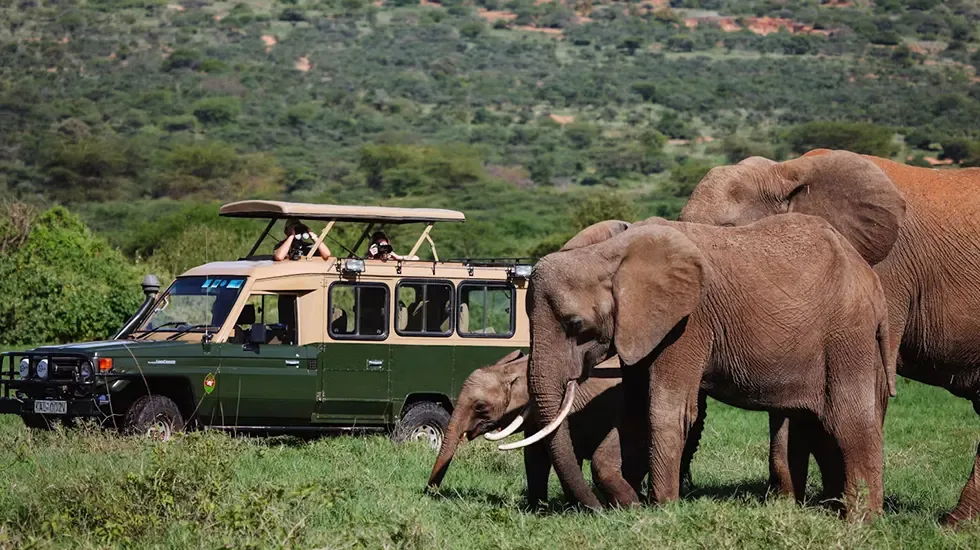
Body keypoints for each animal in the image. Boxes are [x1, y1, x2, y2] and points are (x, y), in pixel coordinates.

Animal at [426, 350, 661, 508]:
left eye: (480, 407)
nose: (430, 494)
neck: (515, 369)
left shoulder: (569, 411)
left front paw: (573, 508)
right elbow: (535, 457)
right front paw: (537, 508)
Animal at [502, 214, 894, 521]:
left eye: (575, 324)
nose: (594, 510)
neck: (610, 255)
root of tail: (873, 282)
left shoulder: (687, 323)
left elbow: (667, 410)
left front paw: (662, 510)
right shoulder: (642, 330)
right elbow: (634, 410)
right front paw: (632, 505)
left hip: (846, 333)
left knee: (847, 418)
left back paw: (860, 521)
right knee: (811, 422)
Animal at [679, 149, 980, 526]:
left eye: (729, 236)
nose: (686, 491)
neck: (787, 173)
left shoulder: (877, 272)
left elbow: (862, 389)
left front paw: (838, 509)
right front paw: (789, 506)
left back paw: (952, 527)